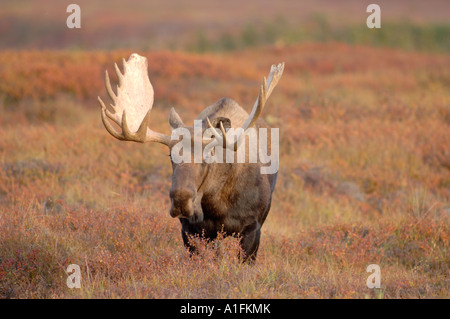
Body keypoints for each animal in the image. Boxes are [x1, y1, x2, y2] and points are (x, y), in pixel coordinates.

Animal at [98, 53, 284, 262]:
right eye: (170, 155)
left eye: (208, 155)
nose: (181, 200)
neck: (216, 206)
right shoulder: (191, 231)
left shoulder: (252, 228)